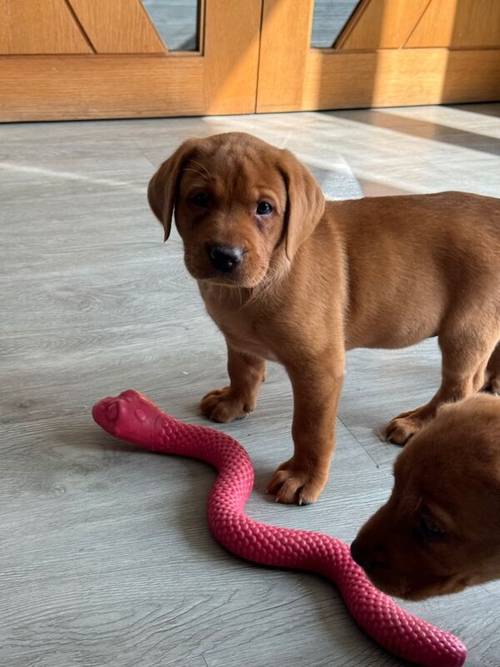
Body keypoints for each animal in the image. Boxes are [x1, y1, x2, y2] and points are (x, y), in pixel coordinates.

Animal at [147, 132, 500, 506]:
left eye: (264, 208)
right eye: (199, 198)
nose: (225, 256)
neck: (259, 282)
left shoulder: (318, 367)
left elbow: (310, 428)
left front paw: (303, 476)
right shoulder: (239, 339)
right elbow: (242, 369)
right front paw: (234, 401)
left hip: (465, 329)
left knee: (458, 387)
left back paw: (418, 423)